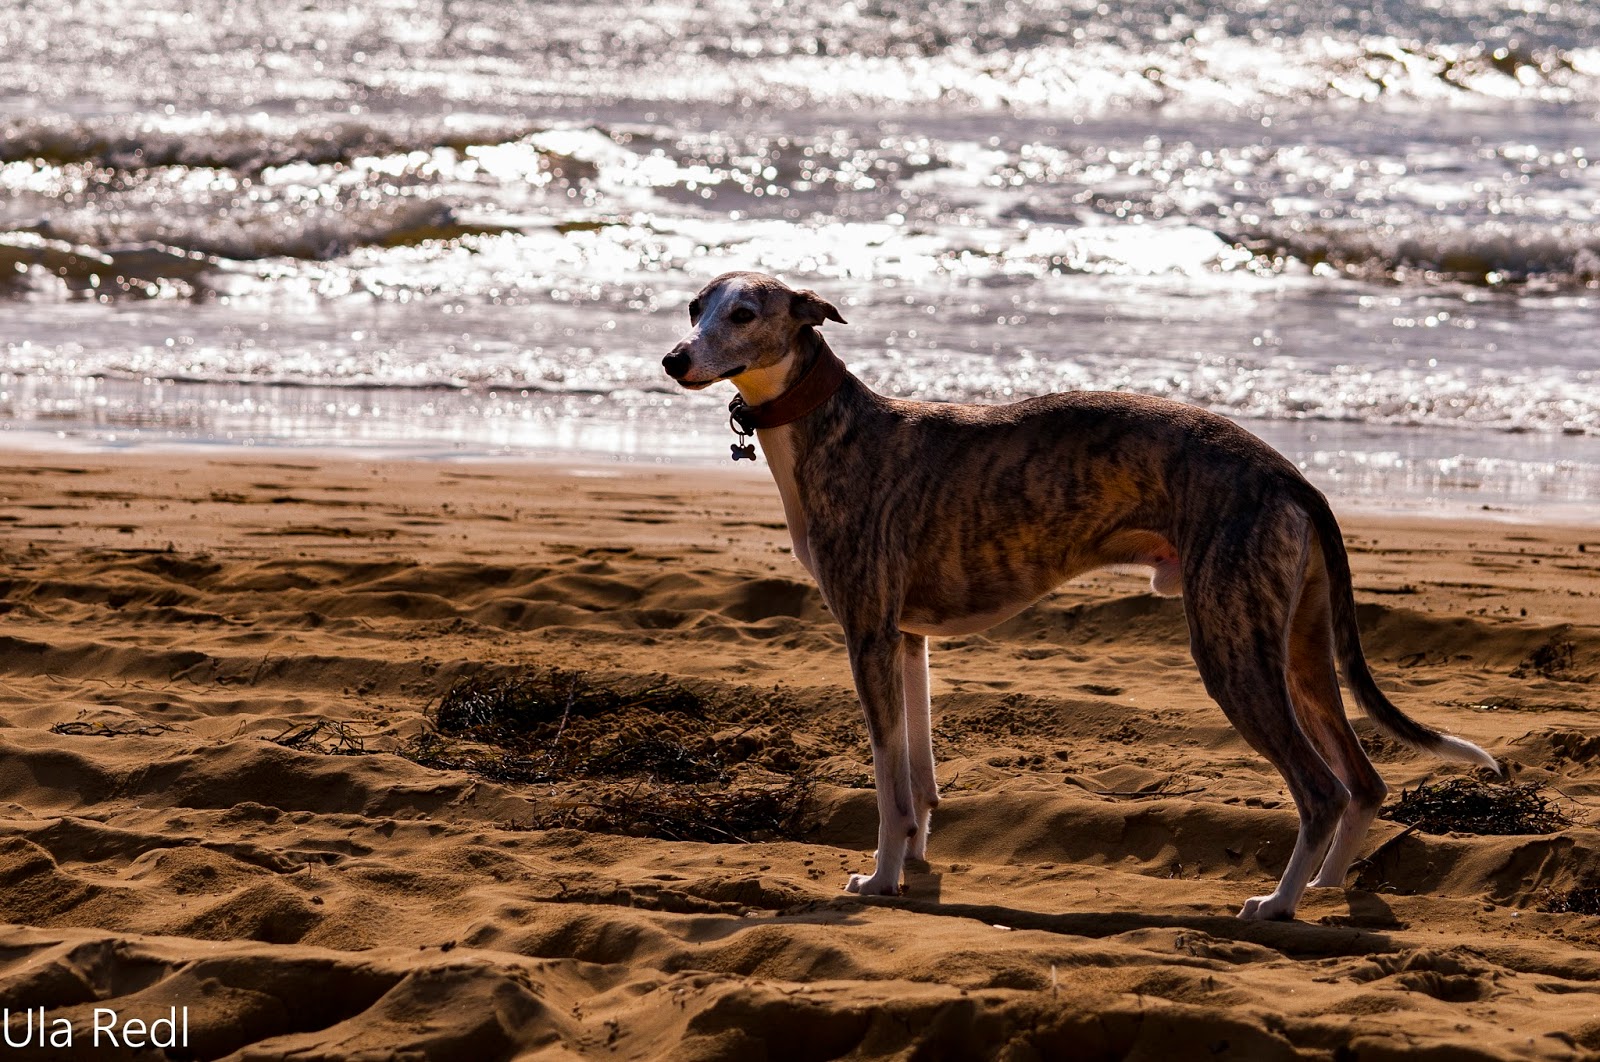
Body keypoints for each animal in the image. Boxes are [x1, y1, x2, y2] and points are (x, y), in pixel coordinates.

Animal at [662, 271, 1497, 921]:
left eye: (743, 313)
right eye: (695, 304)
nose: (674, 359)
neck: (834, 426)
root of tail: (1284, 472)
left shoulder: (866, 634)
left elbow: (891, 785)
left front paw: (882, 880)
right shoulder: (907, 639)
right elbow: (919, 781)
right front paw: (915, 862)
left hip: (1232, 647)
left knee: (1321, 788)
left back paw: (1280, 904)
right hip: (1300, 646)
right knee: (1365, 780)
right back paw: (1324, 888)